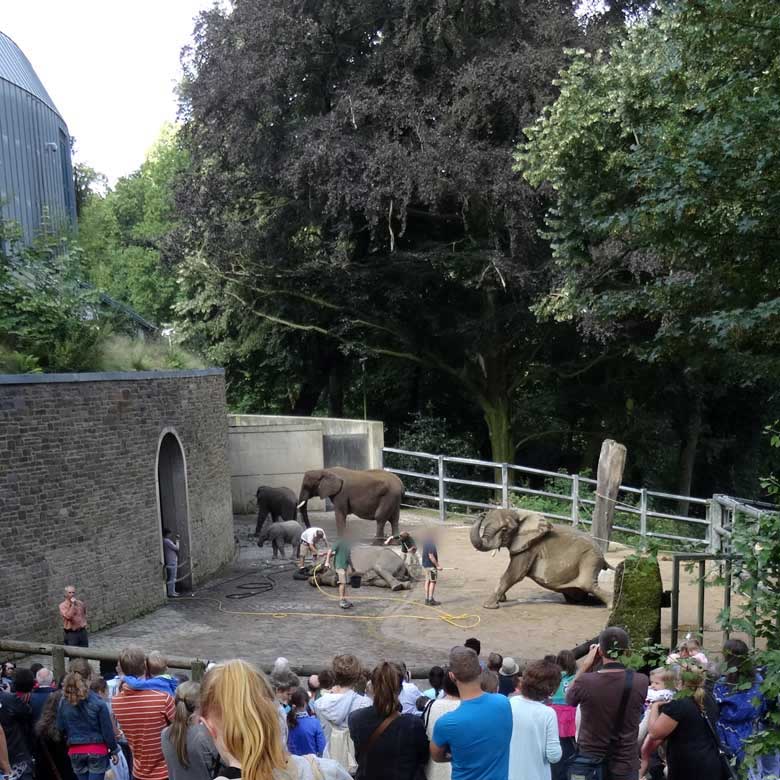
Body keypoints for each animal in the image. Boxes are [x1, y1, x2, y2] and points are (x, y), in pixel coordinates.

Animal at [470, 508, 616, 612]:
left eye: (504, 529)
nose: (481, 514)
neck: (519, 514)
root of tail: (603, 557)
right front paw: (502, 600)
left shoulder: (530, 547)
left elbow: (515, 574)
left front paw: (488, 606)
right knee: (577, 596)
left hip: (590, 559)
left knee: (588, 585)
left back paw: (611, 606)